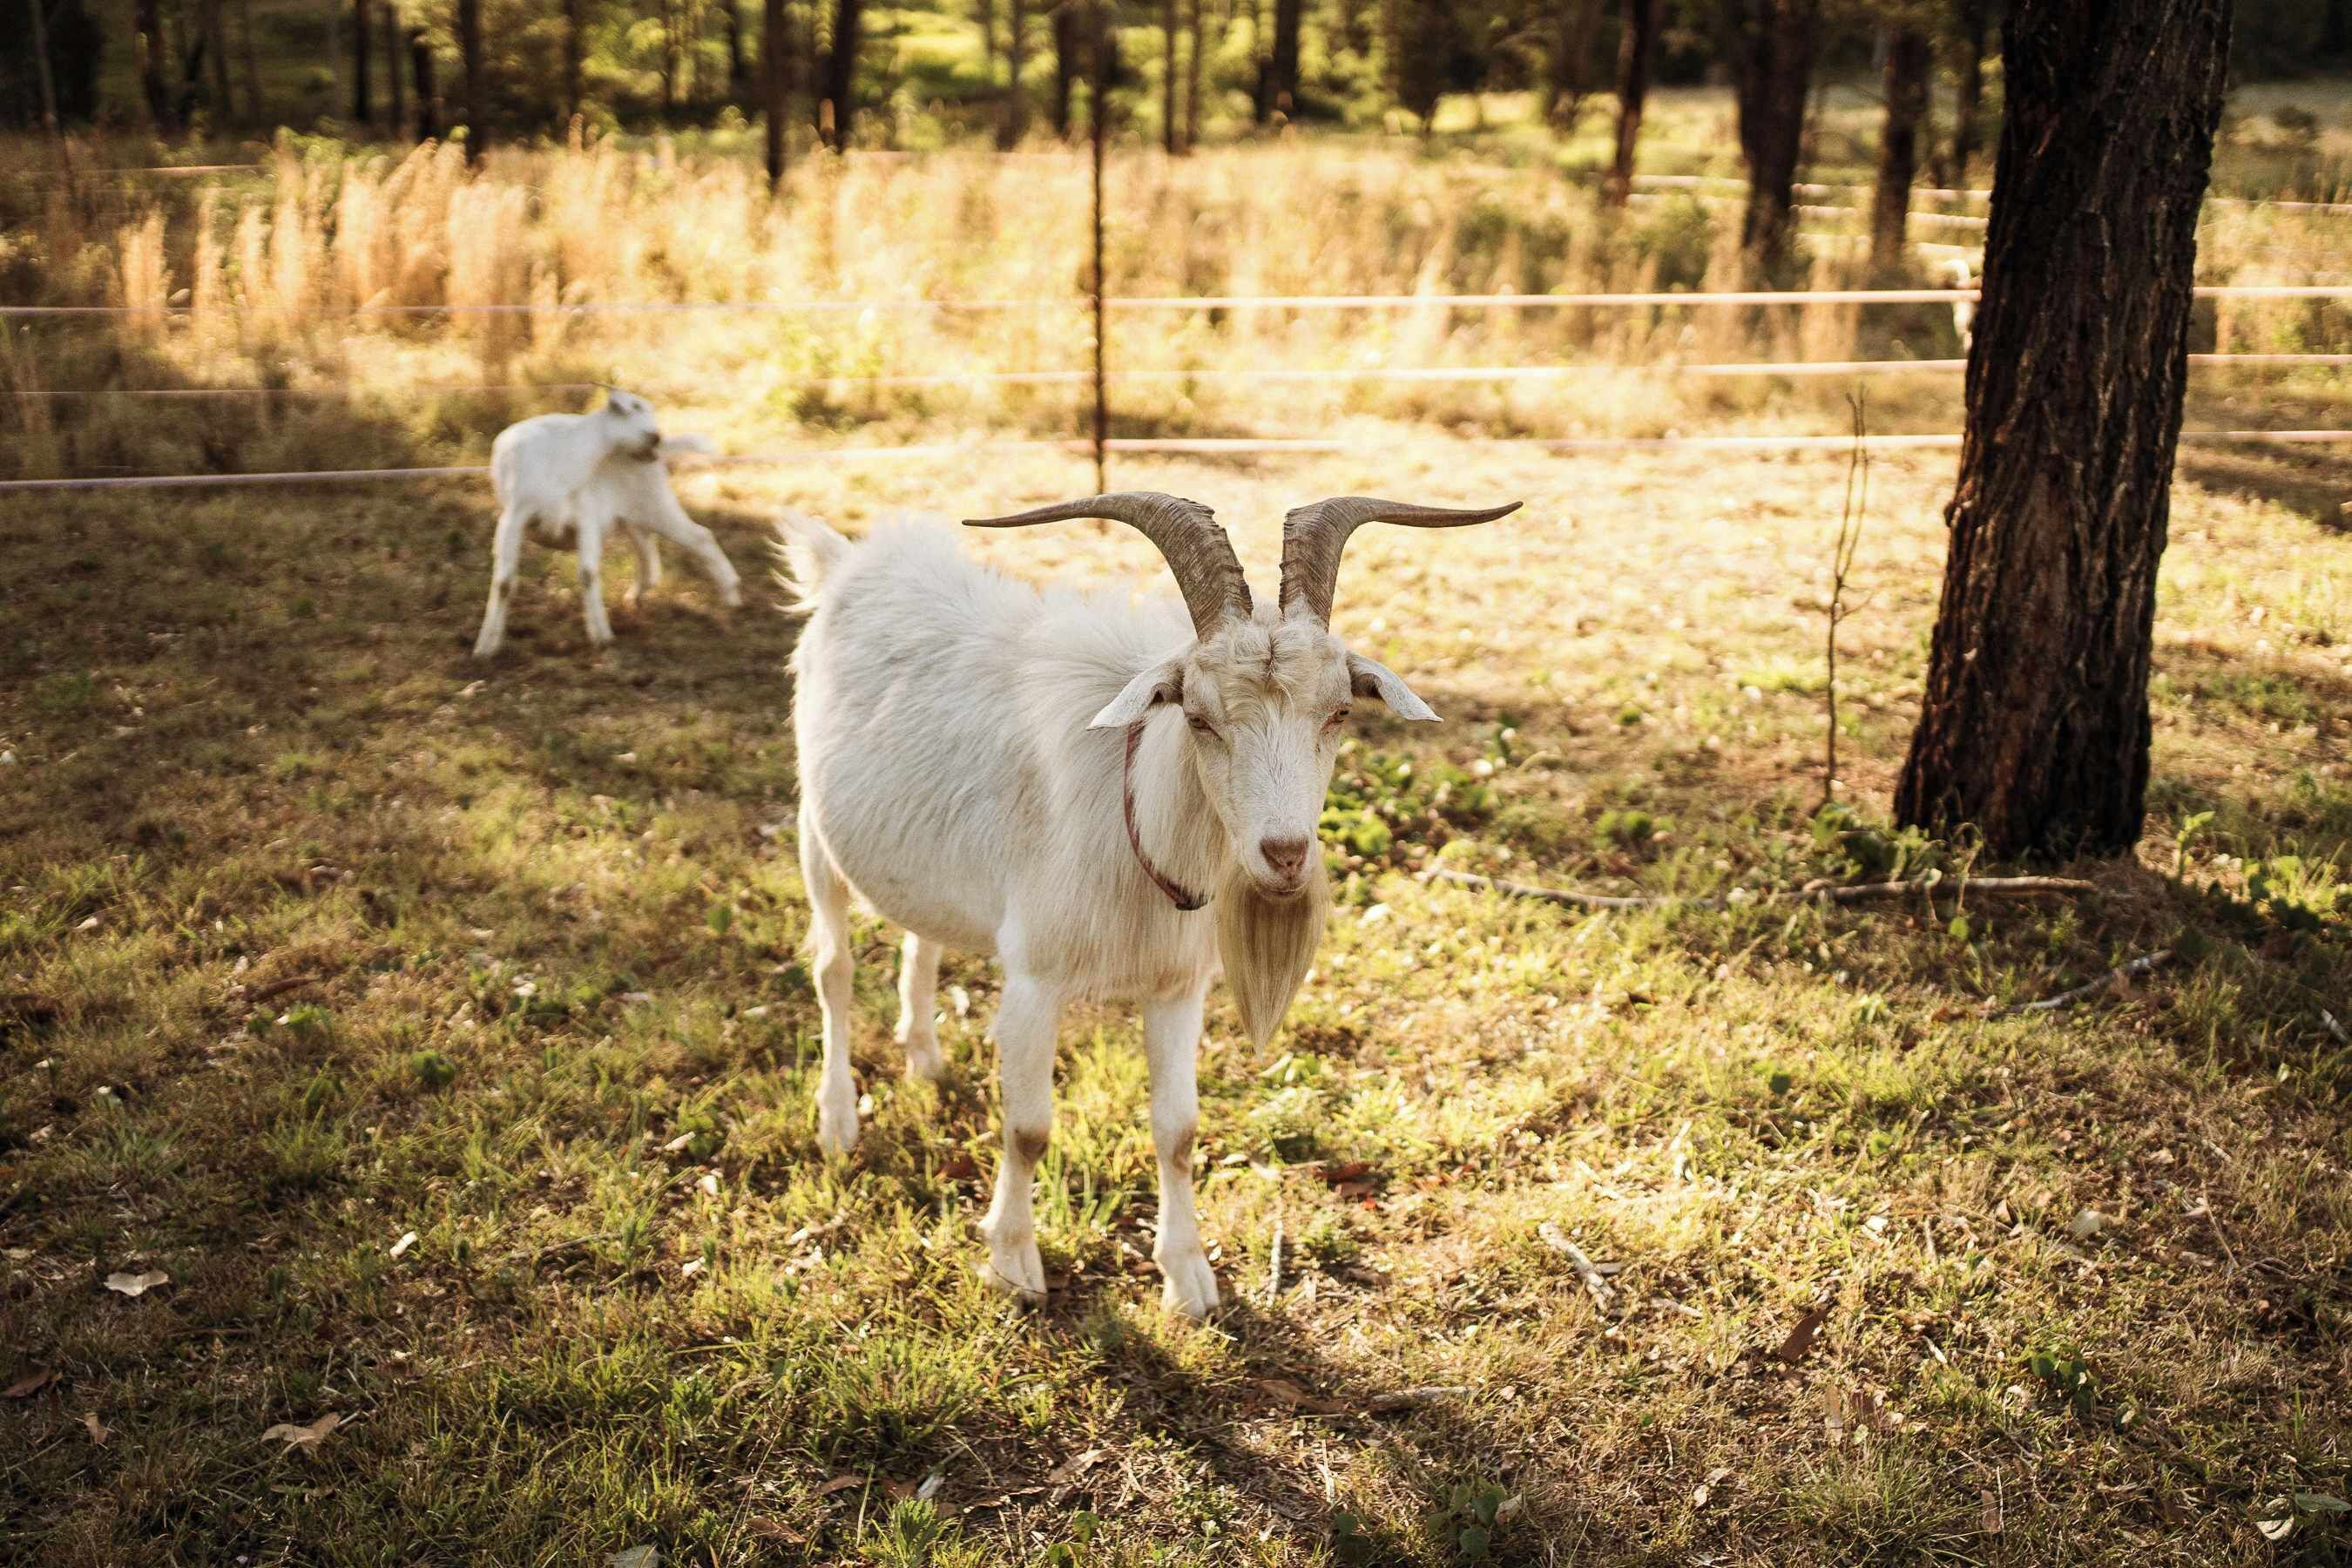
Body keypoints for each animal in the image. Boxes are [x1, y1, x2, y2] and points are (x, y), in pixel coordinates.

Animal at [472, 389, 742, 659]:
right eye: (635, 407)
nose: (656, 437)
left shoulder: (586, 517)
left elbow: (588, 574)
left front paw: (601, 637)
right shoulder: (513, 519)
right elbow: (504, 583)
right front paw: (485, 647)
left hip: (655, 506)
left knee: (700, 537)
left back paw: (732, 596)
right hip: (635, 518)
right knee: (651, 556)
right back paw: (634, 598)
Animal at [778, 491, 1520, 1317]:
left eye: (1338, 714)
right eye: (1197, 716)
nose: (1285, 855)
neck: (1132, 800)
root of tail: (846, 560)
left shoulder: (1176, 988)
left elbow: (1179, 1130)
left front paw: (1188, 1278)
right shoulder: (1034, 982)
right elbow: (1028, 1129)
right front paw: (1013, 1265)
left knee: (921, 937)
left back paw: (926, 1061)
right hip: (815, 833)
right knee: (833, 970)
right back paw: (838, 1120)